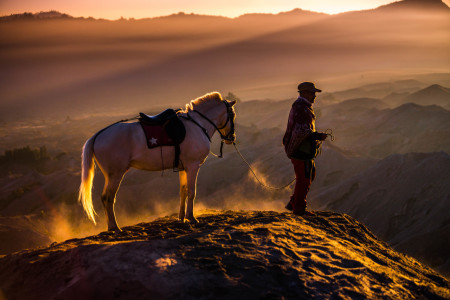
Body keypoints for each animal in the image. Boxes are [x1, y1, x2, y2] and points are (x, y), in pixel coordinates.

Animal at [79, 92, 237, 231]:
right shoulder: (193, 166)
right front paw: (191, 218)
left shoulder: (183, 168)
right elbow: (192, 192)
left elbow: (183, 191)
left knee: (106, 198)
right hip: (115, 175)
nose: (232, 138)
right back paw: (114, 227)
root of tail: (97, 135)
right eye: (233, 115)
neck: (197, 125)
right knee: (108, 198)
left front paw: (181, 217)